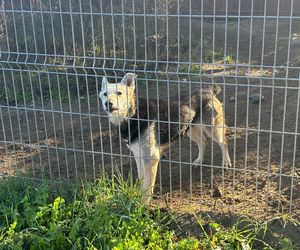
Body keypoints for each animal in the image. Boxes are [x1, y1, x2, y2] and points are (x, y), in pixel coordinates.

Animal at [99, 72, 231, 203]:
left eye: (119, 93)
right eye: (105, 94)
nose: (108, 104)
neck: (133, 115)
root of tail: (207, 89)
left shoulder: (151, 158)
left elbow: (148, 185)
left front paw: (143, 204)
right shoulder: (138, 155)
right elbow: (142, 180)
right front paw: (137, 197)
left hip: (213, 129)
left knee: (224, 143)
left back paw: (226, 163)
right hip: (188, 129)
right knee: (203, 142)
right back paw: (199, 161)